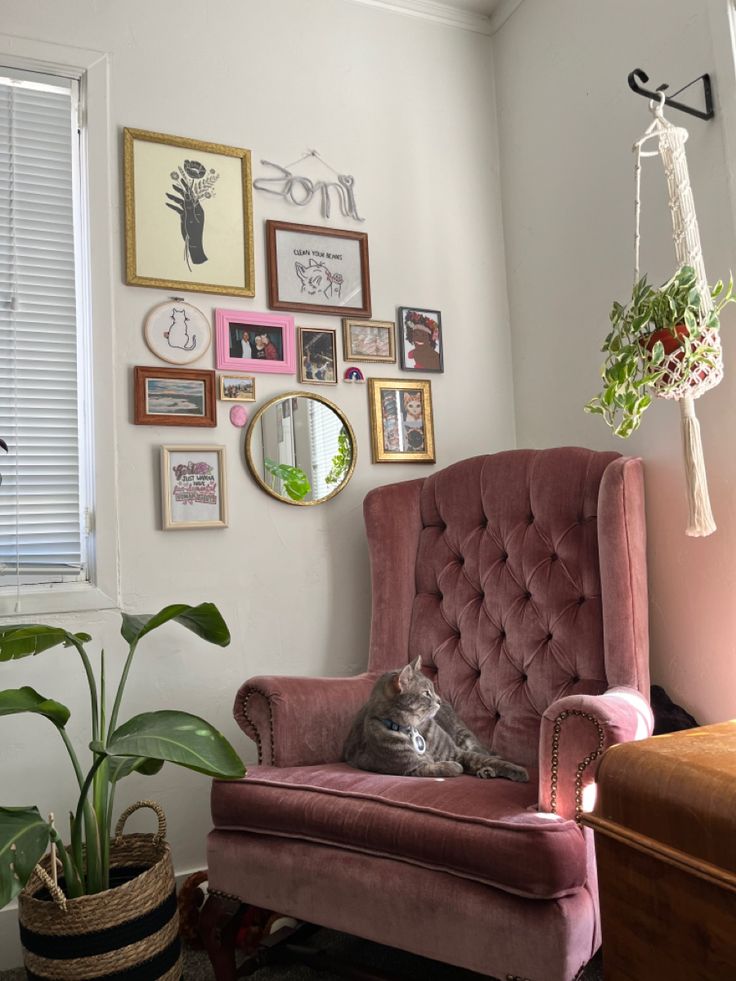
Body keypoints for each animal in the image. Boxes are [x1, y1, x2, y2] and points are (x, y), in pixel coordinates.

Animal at [344, 656, 528, 784]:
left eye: (433, 689)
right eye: (426, 693)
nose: (439, 700)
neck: (414, 728)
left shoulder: (457, 752)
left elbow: (485, 759)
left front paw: (519, 771)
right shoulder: (409, 768)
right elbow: (440, 767)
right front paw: (453, 766)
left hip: (466, 738)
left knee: (489, 755)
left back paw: (488, 770)